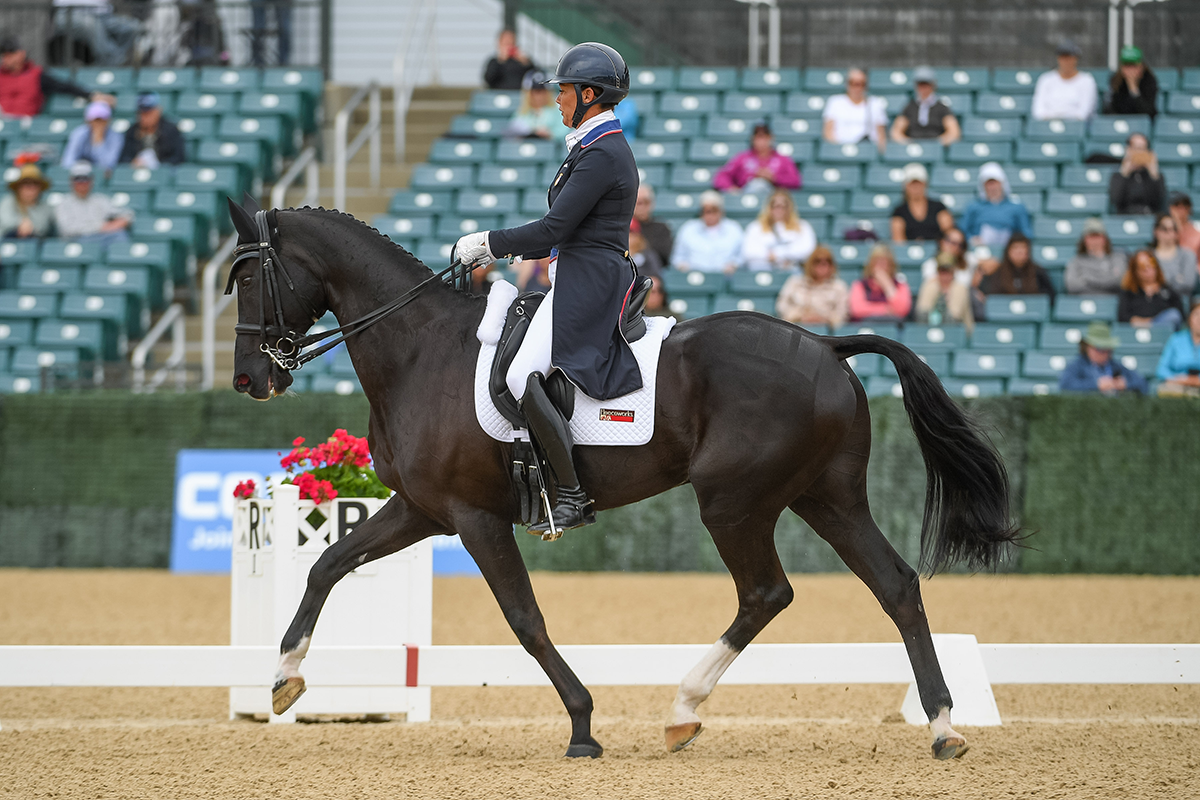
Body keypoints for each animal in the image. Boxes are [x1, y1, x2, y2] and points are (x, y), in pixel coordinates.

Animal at [223, 196, 1012, 762]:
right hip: (825, 496)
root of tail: (825, 342)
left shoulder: (474, 517)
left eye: (248, 278)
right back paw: (942, 726)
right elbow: (328, 562)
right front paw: (284, 678)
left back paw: (684, 709)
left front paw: (582, 725)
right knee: (895, 584)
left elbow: (526, 619)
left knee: (767, 592)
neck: (420, 349)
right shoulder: (424, 508)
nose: (250, 380)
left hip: (734, 502)